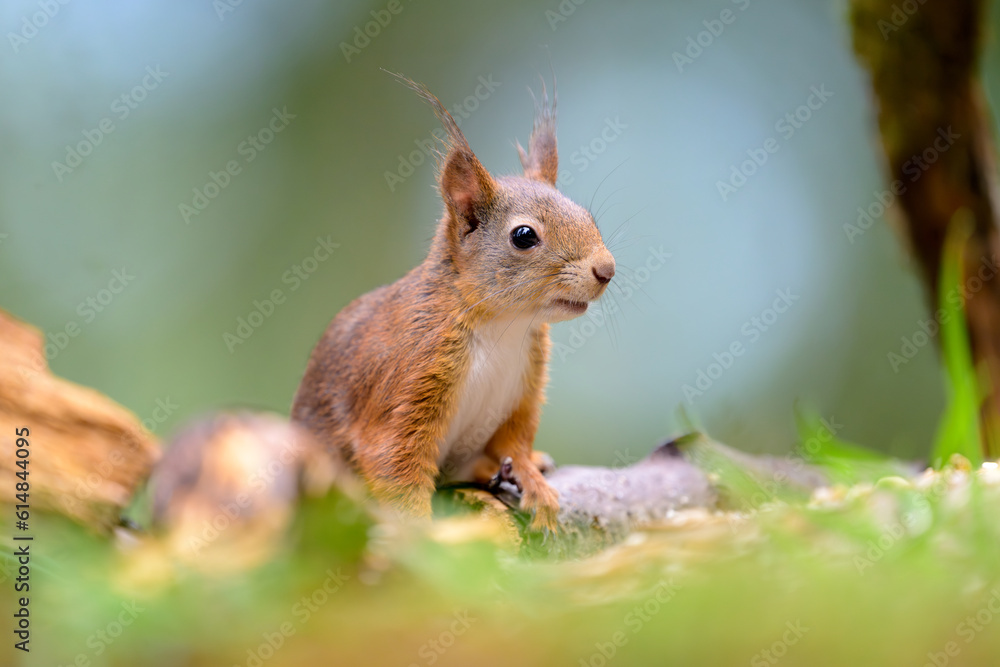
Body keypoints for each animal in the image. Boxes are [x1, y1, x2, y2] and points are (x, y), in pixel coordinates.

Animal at [291, 74, 615, 531]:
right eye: (524, 236)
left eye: (587, 216)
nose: (606, 269)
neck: (503, 325)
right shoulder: (409, 379)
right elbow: (396, 461)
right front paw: (421, 533)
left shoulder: (523, 391)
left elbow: (513, 442)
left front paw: (532, 480)